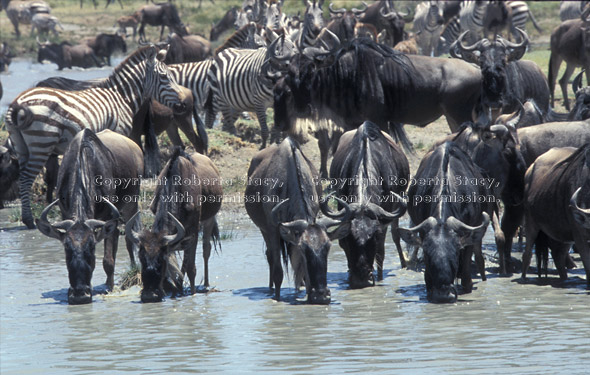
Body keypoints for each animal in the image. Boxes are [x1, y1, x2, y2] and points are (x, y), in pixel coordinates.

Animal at [4, 46, 185, 229]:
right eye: (165, 77)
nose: (183, 104)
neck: (121, 96)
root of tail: (18, 102)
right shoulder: (118, 131)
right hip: (42, 142)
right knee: (27, 178)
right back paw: (29, 220)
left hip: (22, 145)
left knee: (23, 177)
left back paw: (27, 218)